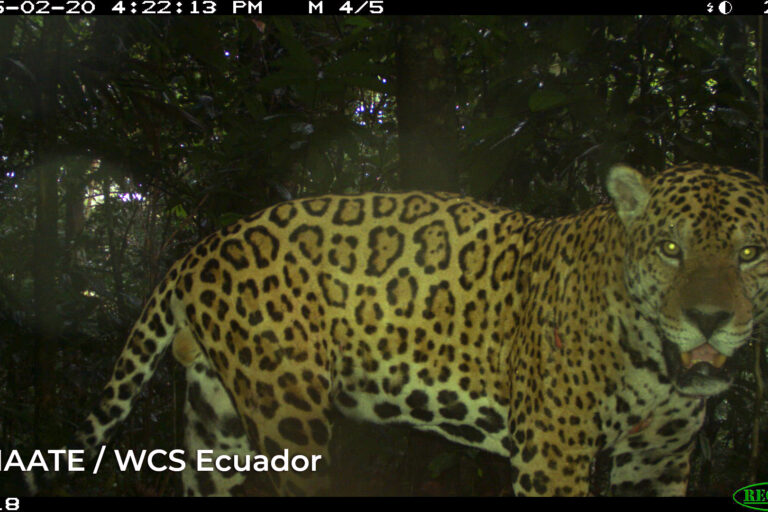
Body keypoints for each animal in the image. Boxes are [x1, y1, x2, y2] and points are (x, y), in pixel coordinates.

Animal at [22, 163, 768, 496]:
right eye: (669, 248)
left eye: (750, 253)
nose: (707, 319)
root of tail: (196, 250)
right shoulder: (555, 454)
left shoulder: (659, 460)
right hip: (290, 419)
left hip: (217, 424)